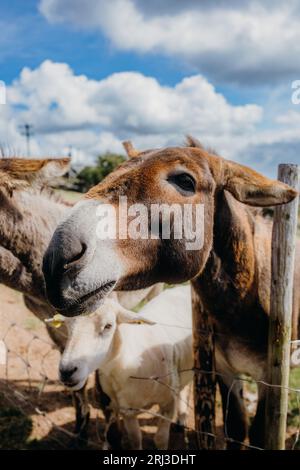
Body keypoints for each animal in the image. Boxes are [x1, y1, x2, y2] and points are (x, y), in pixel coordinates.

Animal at [59, 284, 193, 450]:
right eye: (67, 325)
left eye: (108, 326)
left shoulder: (167, 404)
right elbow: (135, 439)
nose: (66, 371)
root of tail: (184, 287)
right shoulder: (127, 411)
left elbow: (160, 439)